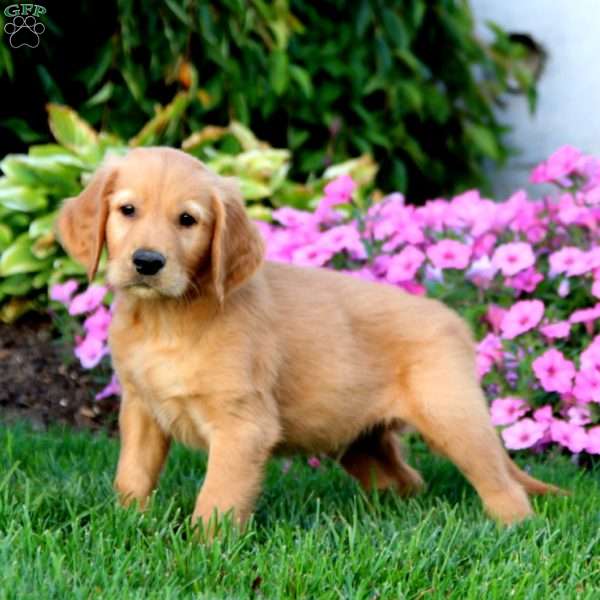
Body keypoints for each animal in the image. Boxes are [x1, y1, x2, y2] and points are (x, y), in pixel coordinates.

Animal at [56, 148, 564, 528]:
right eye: (127, 210)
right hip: (359, 438)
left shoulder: (243, 426)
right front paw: (129, 524)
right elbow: (133, 474)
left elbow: (218, 496)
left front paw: (203, 552)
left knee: (504, 486)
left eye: (187, 220)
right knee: (405, 480)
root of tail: (453, 320)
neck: (169, 317)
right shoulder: (142, 410)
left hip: (452, 417)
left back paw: (513, 529)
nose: (147, 262)